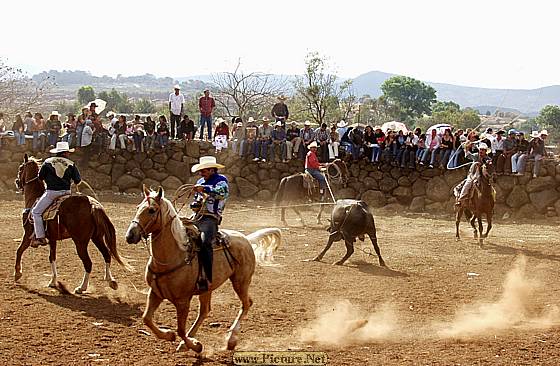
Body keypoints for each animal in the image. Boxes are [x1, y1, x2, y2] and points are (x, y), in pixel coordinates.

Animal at [13, 153, 128, 294]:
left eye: (20, 168)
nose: (17, 182)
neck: (34, 198)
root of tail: (93, 206)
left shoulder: (27, 235)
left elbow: (19, 250)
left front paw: (17, 273)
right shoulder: (52, 239)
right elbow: (52, 257)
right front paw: (53, 281)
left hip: (80, 242)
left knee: (88, 263)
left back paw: (82, 287)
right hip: (97, 237)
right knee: (107, 255)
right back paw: (110, 281)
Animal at [125, 187, 270, 354]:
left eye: (151, 210)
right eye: (137, 207)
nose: (130, 235)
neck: (175, 255)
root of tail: (246, 239)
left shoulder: (183, 301)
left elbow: (181, 329)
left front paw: (195, 345)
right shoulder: (155, 293)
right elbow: (146, 319)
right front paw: (169, 335)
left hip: (241, 281)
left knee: (246, 304)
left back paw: (231, 340)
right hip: (208, 288)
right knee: (205, 310)